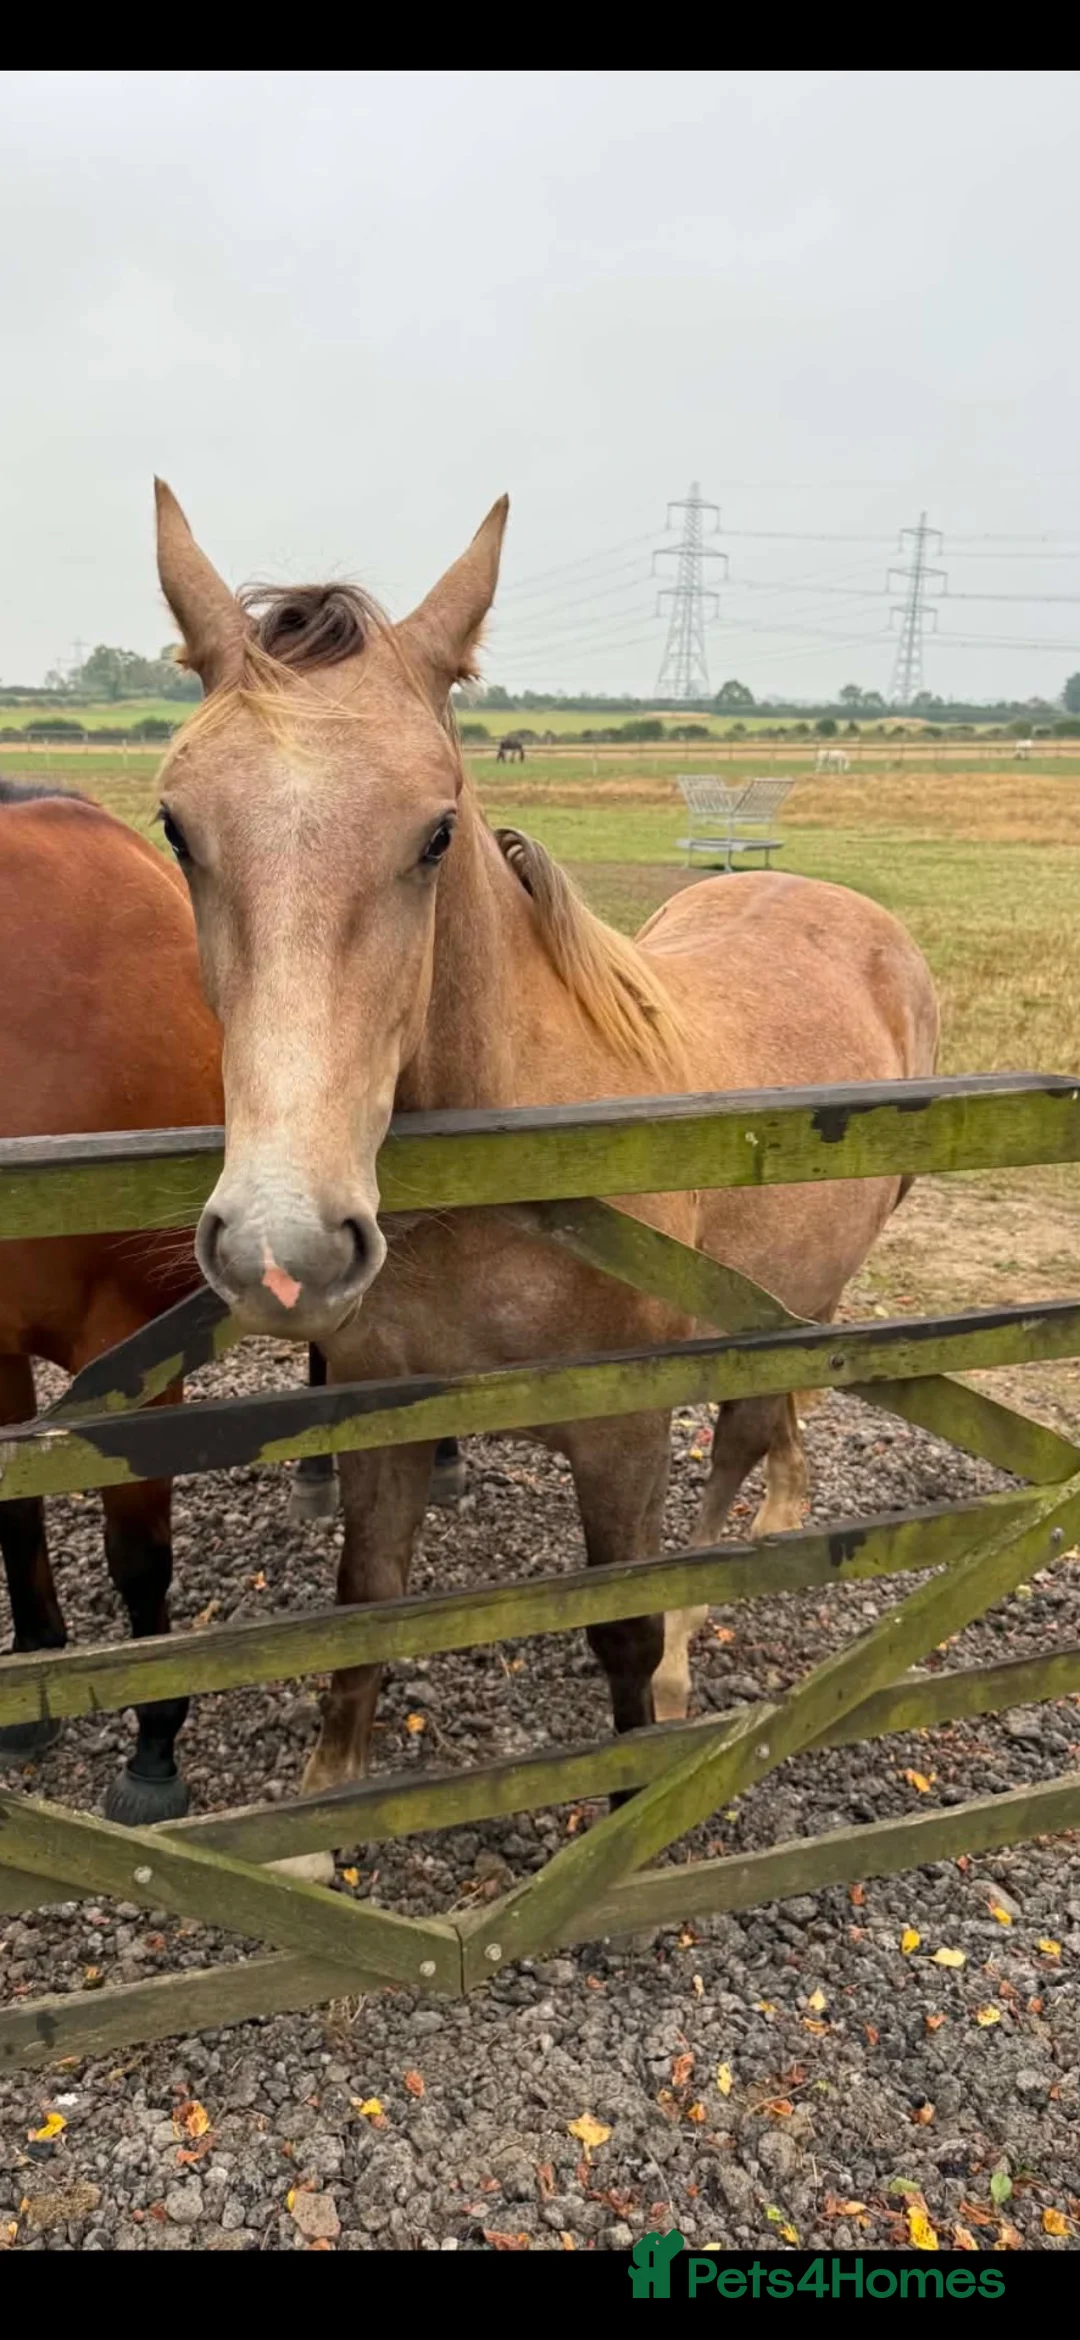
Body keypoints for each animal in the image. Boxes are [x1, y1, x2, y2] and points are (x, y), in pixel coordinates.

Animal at [152, 480, 939, 1882]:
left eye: (435, 831)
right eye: (177, 826)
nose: (283, 1248)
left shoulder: (621, 1430)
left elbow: (619, 1621)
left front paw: (626, 1812)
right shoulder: (385, 1415)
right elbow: (361, 1607)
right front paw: (316, 1825)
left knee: (742, 1446)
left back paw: (692, 1648)